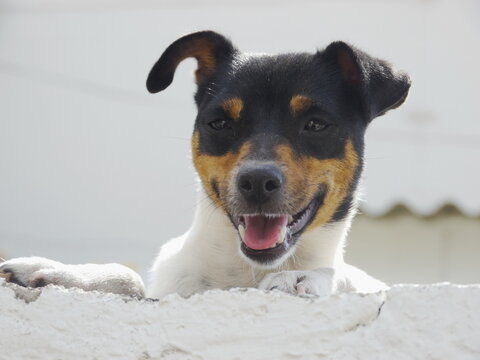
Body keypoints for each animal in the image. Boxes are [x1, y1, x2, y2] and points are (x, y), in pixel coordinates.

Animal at [0, 31, 408, 300]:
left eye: (315, 124)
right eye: (220, 123)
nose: (256, 181)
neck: (244, 273)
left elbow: (346, 277)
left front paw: (306, 276)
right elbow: (128, 276)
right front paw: (58, 271)